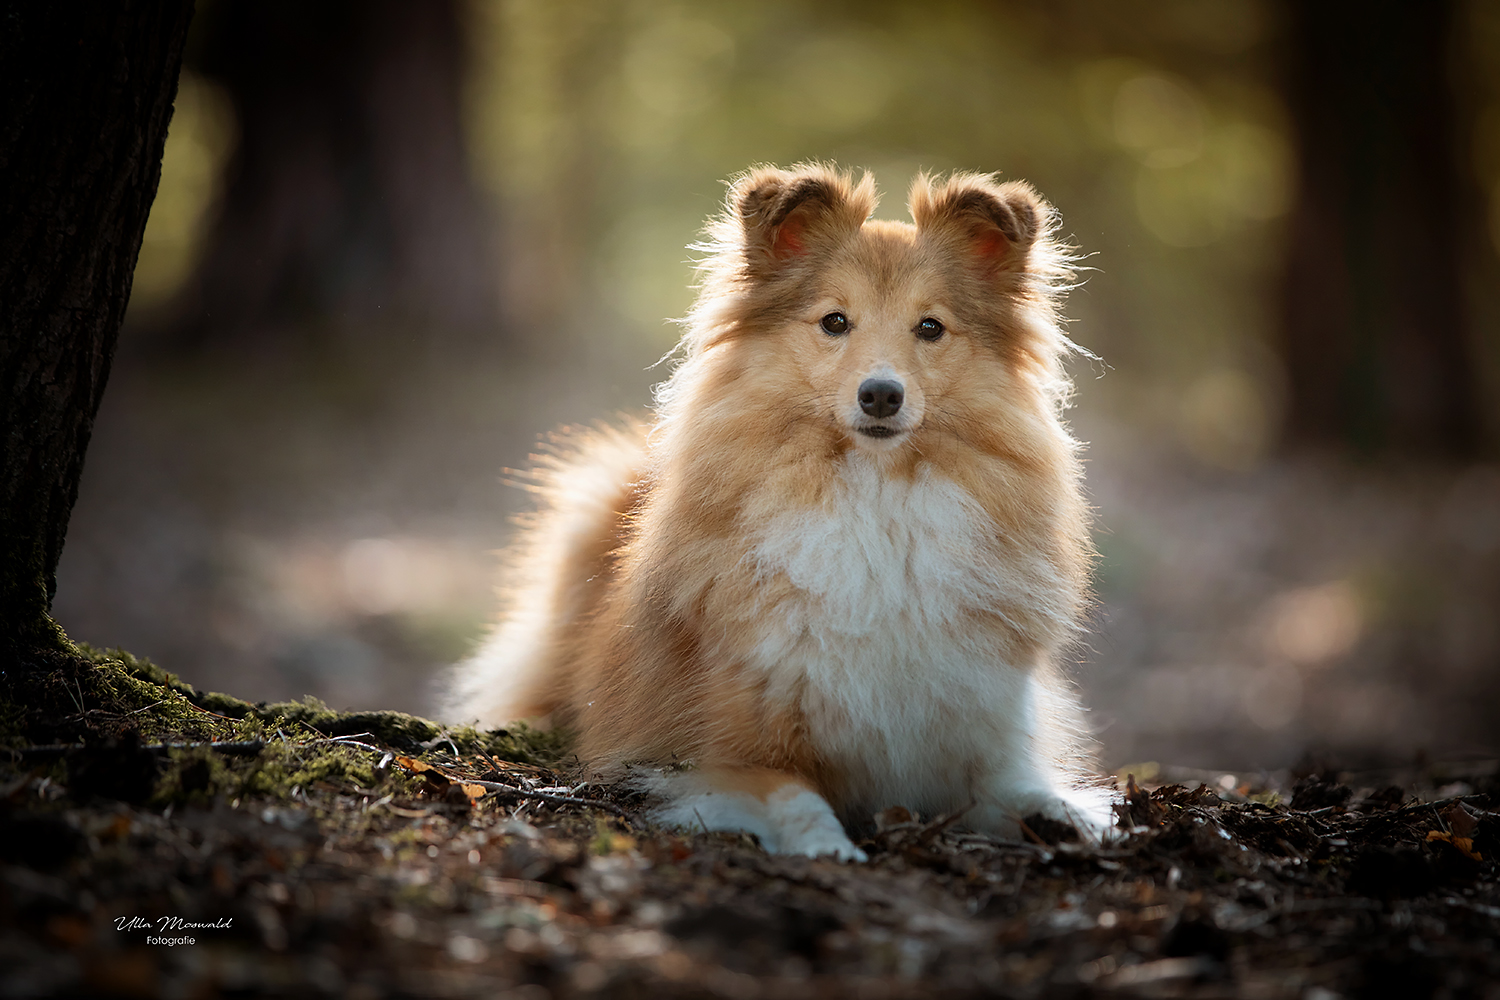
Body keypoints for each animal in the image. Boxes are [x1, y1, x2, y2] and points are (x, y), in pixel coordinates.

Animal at [444, 164, 1116, 863]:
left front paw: (1075, 816)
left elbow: (1021, 789)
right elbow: (797, 799)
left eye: (930, 328)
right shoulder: (722, 754)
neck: (876, 502)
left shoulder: (978, 743)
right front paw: (831, 849)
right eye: (835, 321)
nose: (881, 395)